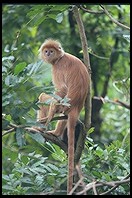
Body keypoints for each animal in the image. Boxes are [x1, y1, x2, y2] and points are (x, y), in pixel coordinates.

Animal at [38, 38, 89, 193]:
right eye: (46, 51)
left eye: (51, 51)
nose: (48, 53)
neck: (60, 58)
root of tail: (76, 107)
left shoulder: (58, 68)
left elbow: (61, 90)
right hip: (67, 110)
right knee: (65, 118)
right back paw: (56, 132)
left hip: (63, 105)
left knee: (45, 97)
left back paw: (44, 127)